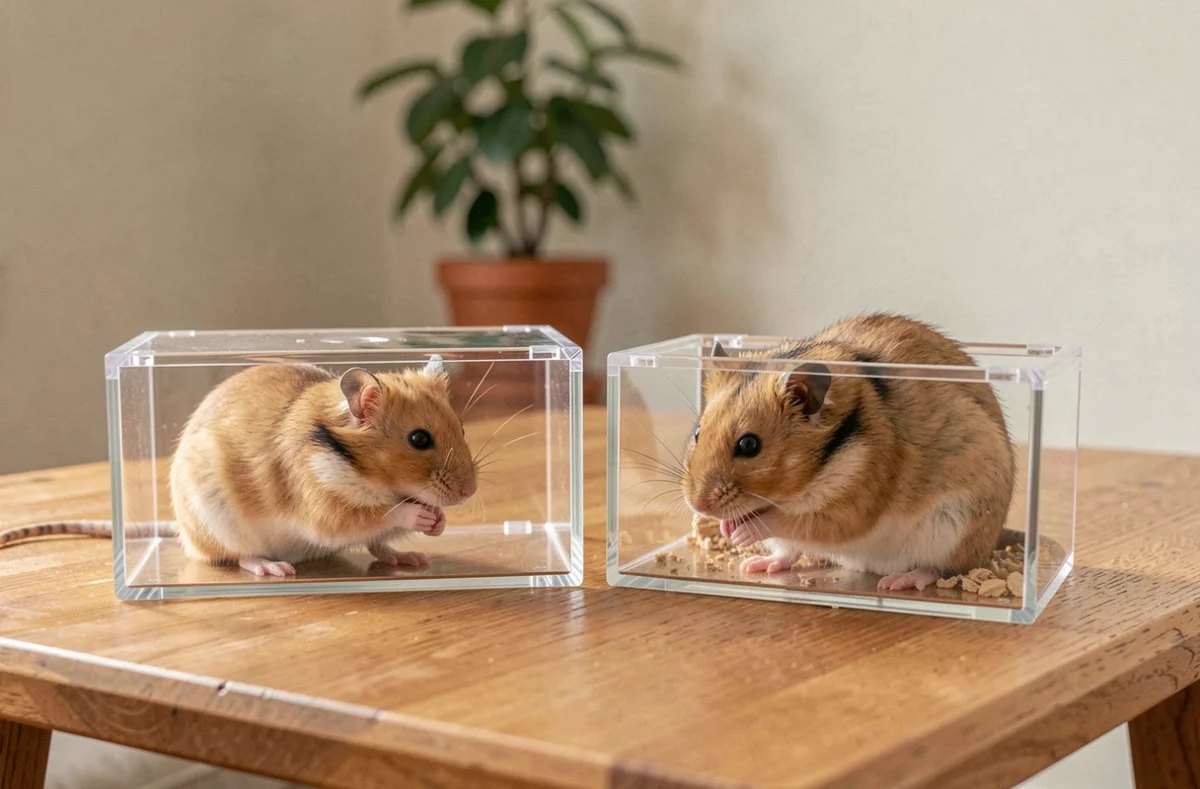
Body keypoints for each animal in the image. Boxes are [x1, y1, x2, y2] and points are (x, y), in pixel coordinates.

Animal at [0, 357, 478, 578]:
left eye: (461, 428)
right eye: (419, 439)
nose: (470, 493)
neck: (365, 473)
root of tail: (180, 531)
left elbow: (384, 528)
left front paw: (436, 523)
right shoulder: (324, 508)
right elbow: (379, 515)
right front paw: (420, 515)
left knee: (380, 549)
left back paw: (410, 557)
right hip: (221, 524)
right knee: (234, 556)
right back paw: (273, 568)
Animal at [682, 313, 1015, 592]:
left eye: (749, 445)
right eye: (697, 432)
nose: (698, 506)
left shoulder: (851, 506)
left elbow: (787, 520)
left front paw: (738, 533)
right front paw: (727, 529)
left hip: (953, 528)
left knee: (937, 568)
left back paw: (897, 582)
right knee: (788, 553)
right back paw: (754, 565)